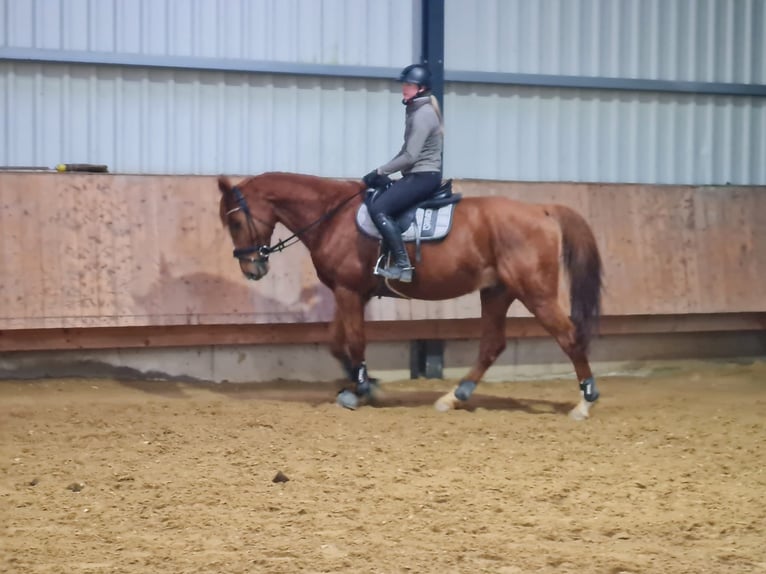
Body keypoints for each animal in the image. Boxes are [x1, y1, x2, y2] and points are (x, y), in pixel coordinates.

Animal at [216, 173, 608, 420]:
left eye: (235, 222)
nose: (252, 269)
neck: (332, 216)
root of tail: (541, 210)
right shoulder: (353, 293)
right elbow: (336, 341)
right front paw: (365, 383)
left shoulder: (348, 291)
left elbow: (354, 341)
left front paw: (360, 390)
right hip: (497, 292)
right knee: (492, 345)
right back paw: (455, 396)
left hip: (535, 292)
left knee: (569, 336)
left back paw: (585, 402)